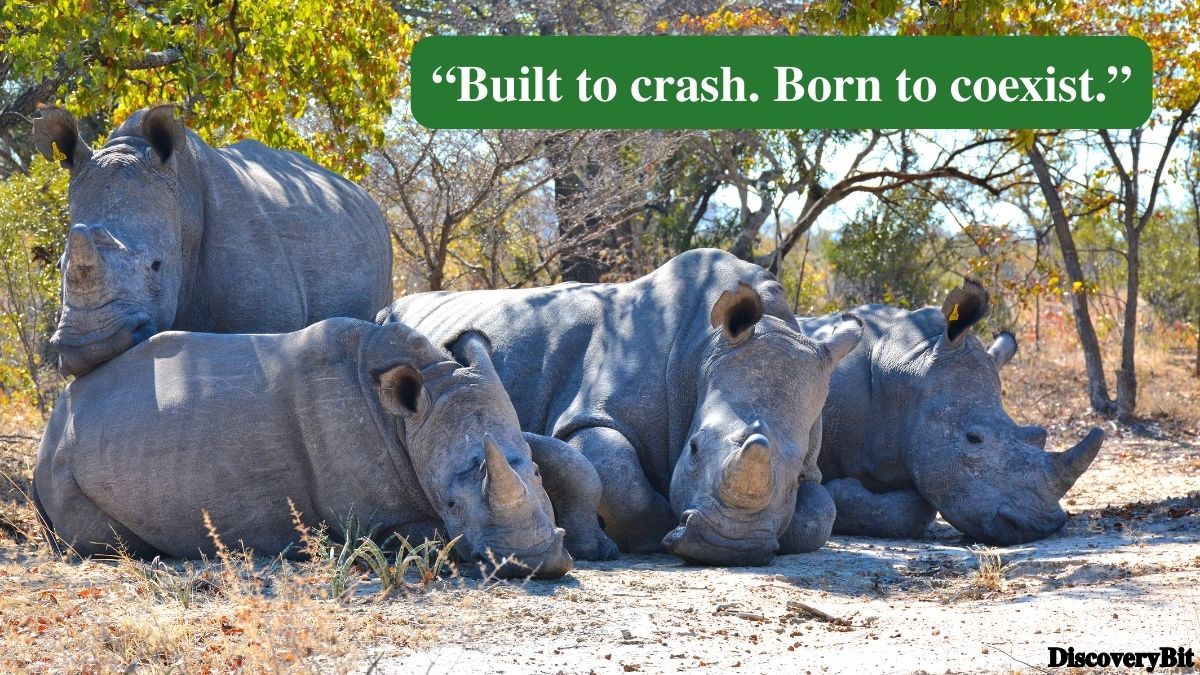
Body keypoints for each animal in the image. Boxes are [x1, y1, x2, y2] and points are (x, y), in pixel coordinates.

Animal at [32, 318, 577, 579]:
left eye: (536, 476)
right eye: (450, 503)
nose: (533, 562)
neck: (408, 421)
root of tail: (54, 421)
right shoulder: (379, 517)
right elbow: (427, 535)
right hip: (61, 463)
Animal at [379, 249, 863, 566]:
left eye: (796, 471)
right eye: (693, 448)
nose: (728, 548)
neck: (706, 349)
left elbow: (821, 514)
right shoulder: (591, 412)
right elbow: (618, 477)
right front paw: (649, 537)